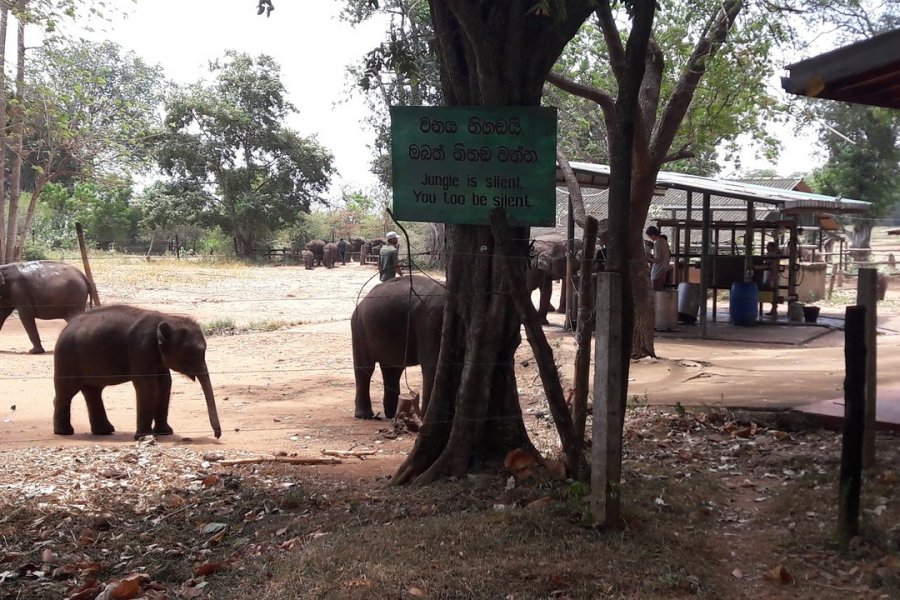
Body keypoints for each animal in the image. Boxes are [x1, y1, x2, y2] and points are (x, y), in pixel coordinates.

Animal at [52, 308, 221, 438]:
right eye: (190, 354)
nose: (217, 435)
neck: (168, 318)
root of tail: (66, 327)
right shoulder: (141, 348)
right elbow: (146, 385)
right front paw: (144, 436)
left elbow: (165, 383)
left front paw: (165, 433)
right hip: (67, 358)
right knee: (66, 392)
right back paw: (64, 432)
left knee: (92, 391)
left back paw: (105, 431)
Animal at [354, 276, 448, 420]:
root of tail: (362, 301)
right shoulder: (430, 324)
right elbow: (432, 366)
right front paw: (425, 420)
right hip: (359, 327)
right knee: (365, 368)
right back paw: (365, 416)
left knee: (392, 369)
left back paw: (392, 414)